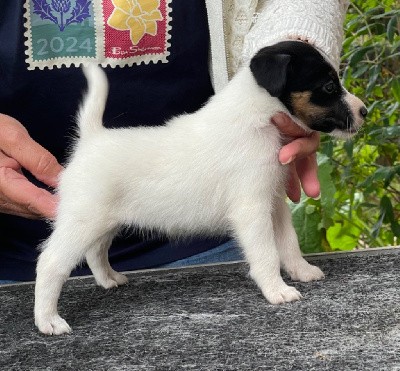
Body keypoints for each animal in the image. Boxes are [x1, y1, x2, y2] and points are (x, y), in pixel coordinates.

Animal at [34, 41, 366, 338]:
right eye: (328, 87)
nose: (364, 111)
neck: (256, 120)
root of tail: (91, 139)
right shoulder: (252, 210)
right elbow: (267, 253)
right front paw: (277, 290)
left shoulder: (275, 203)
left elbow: (289, 243)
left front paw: (301, 271)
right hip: (83, 221)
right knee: (50, 263)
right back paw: (48, 320)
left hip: (104, 222)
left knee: (95, 251)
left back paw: (109, 279)